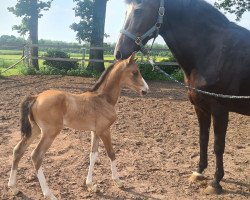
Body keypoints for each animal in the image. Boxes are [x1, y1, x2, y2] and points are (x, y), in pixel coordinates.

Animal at [7, 52, 148, 199]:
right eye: (135, 72)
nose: (145, 90)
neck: (104, 99)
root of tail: (35, 97)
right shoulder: (104, 130)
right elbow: (111, 153)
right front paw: (118, 182)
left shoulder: (95, 131)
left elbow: (93, 155)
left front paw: (91, 185)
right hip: (50, 132)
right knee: (36, 156)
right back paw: (49, 194)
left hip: (35, 130)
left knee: (18, 150)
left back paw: (14, 188)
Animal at [114, 0, 250, 195]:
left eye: (138, 11)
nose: (118, 53)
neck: (214, 51)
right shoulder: (200, 107)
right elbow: (203, 138)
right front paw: (199, 172)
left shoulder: (220, 109)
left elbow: (218, 145)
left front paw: (215, 181)